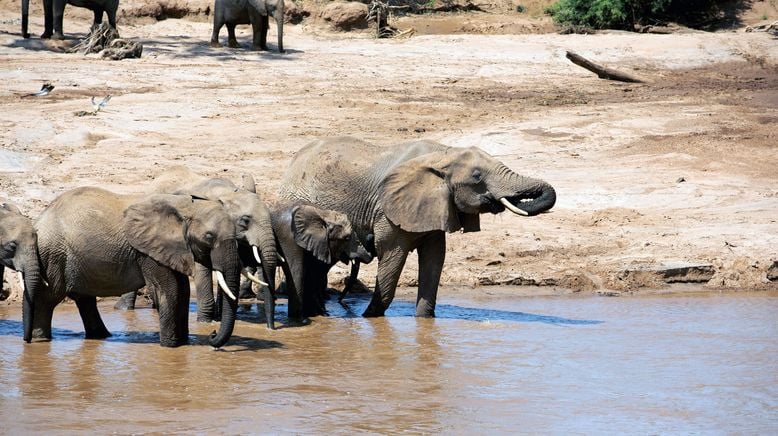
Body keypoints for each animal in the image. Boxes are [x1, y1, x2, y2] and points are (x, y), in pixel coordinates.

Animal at [29, 187, 242, 348]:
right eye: (209, 236)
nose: (212, 334)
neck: (187, 206)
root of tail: (39, 219)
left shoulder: (171, 248)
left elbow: (182, 291)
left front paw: (183, 344)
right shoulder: (147, 251)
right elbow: (169, 290)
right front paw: (171, 346)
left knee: (84, 299)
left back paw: (101, 337)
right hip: (53, 255)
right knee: (48, 298)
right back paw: (40, 340)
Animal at [116, 169, 278, 328]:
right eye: (245, 220)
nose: (271, 328)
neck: (228, 193)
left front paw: (218, 317)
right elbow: (203, 269)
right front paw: (206, 322)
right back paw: (124, 309)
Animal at [282, 138, 556, 318]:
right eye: (477, 176)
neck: (444, 154)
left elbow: (434, 259)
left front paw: (425, 321)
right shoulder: (387, 210)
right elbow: (392, 257)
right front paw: (370, 317)